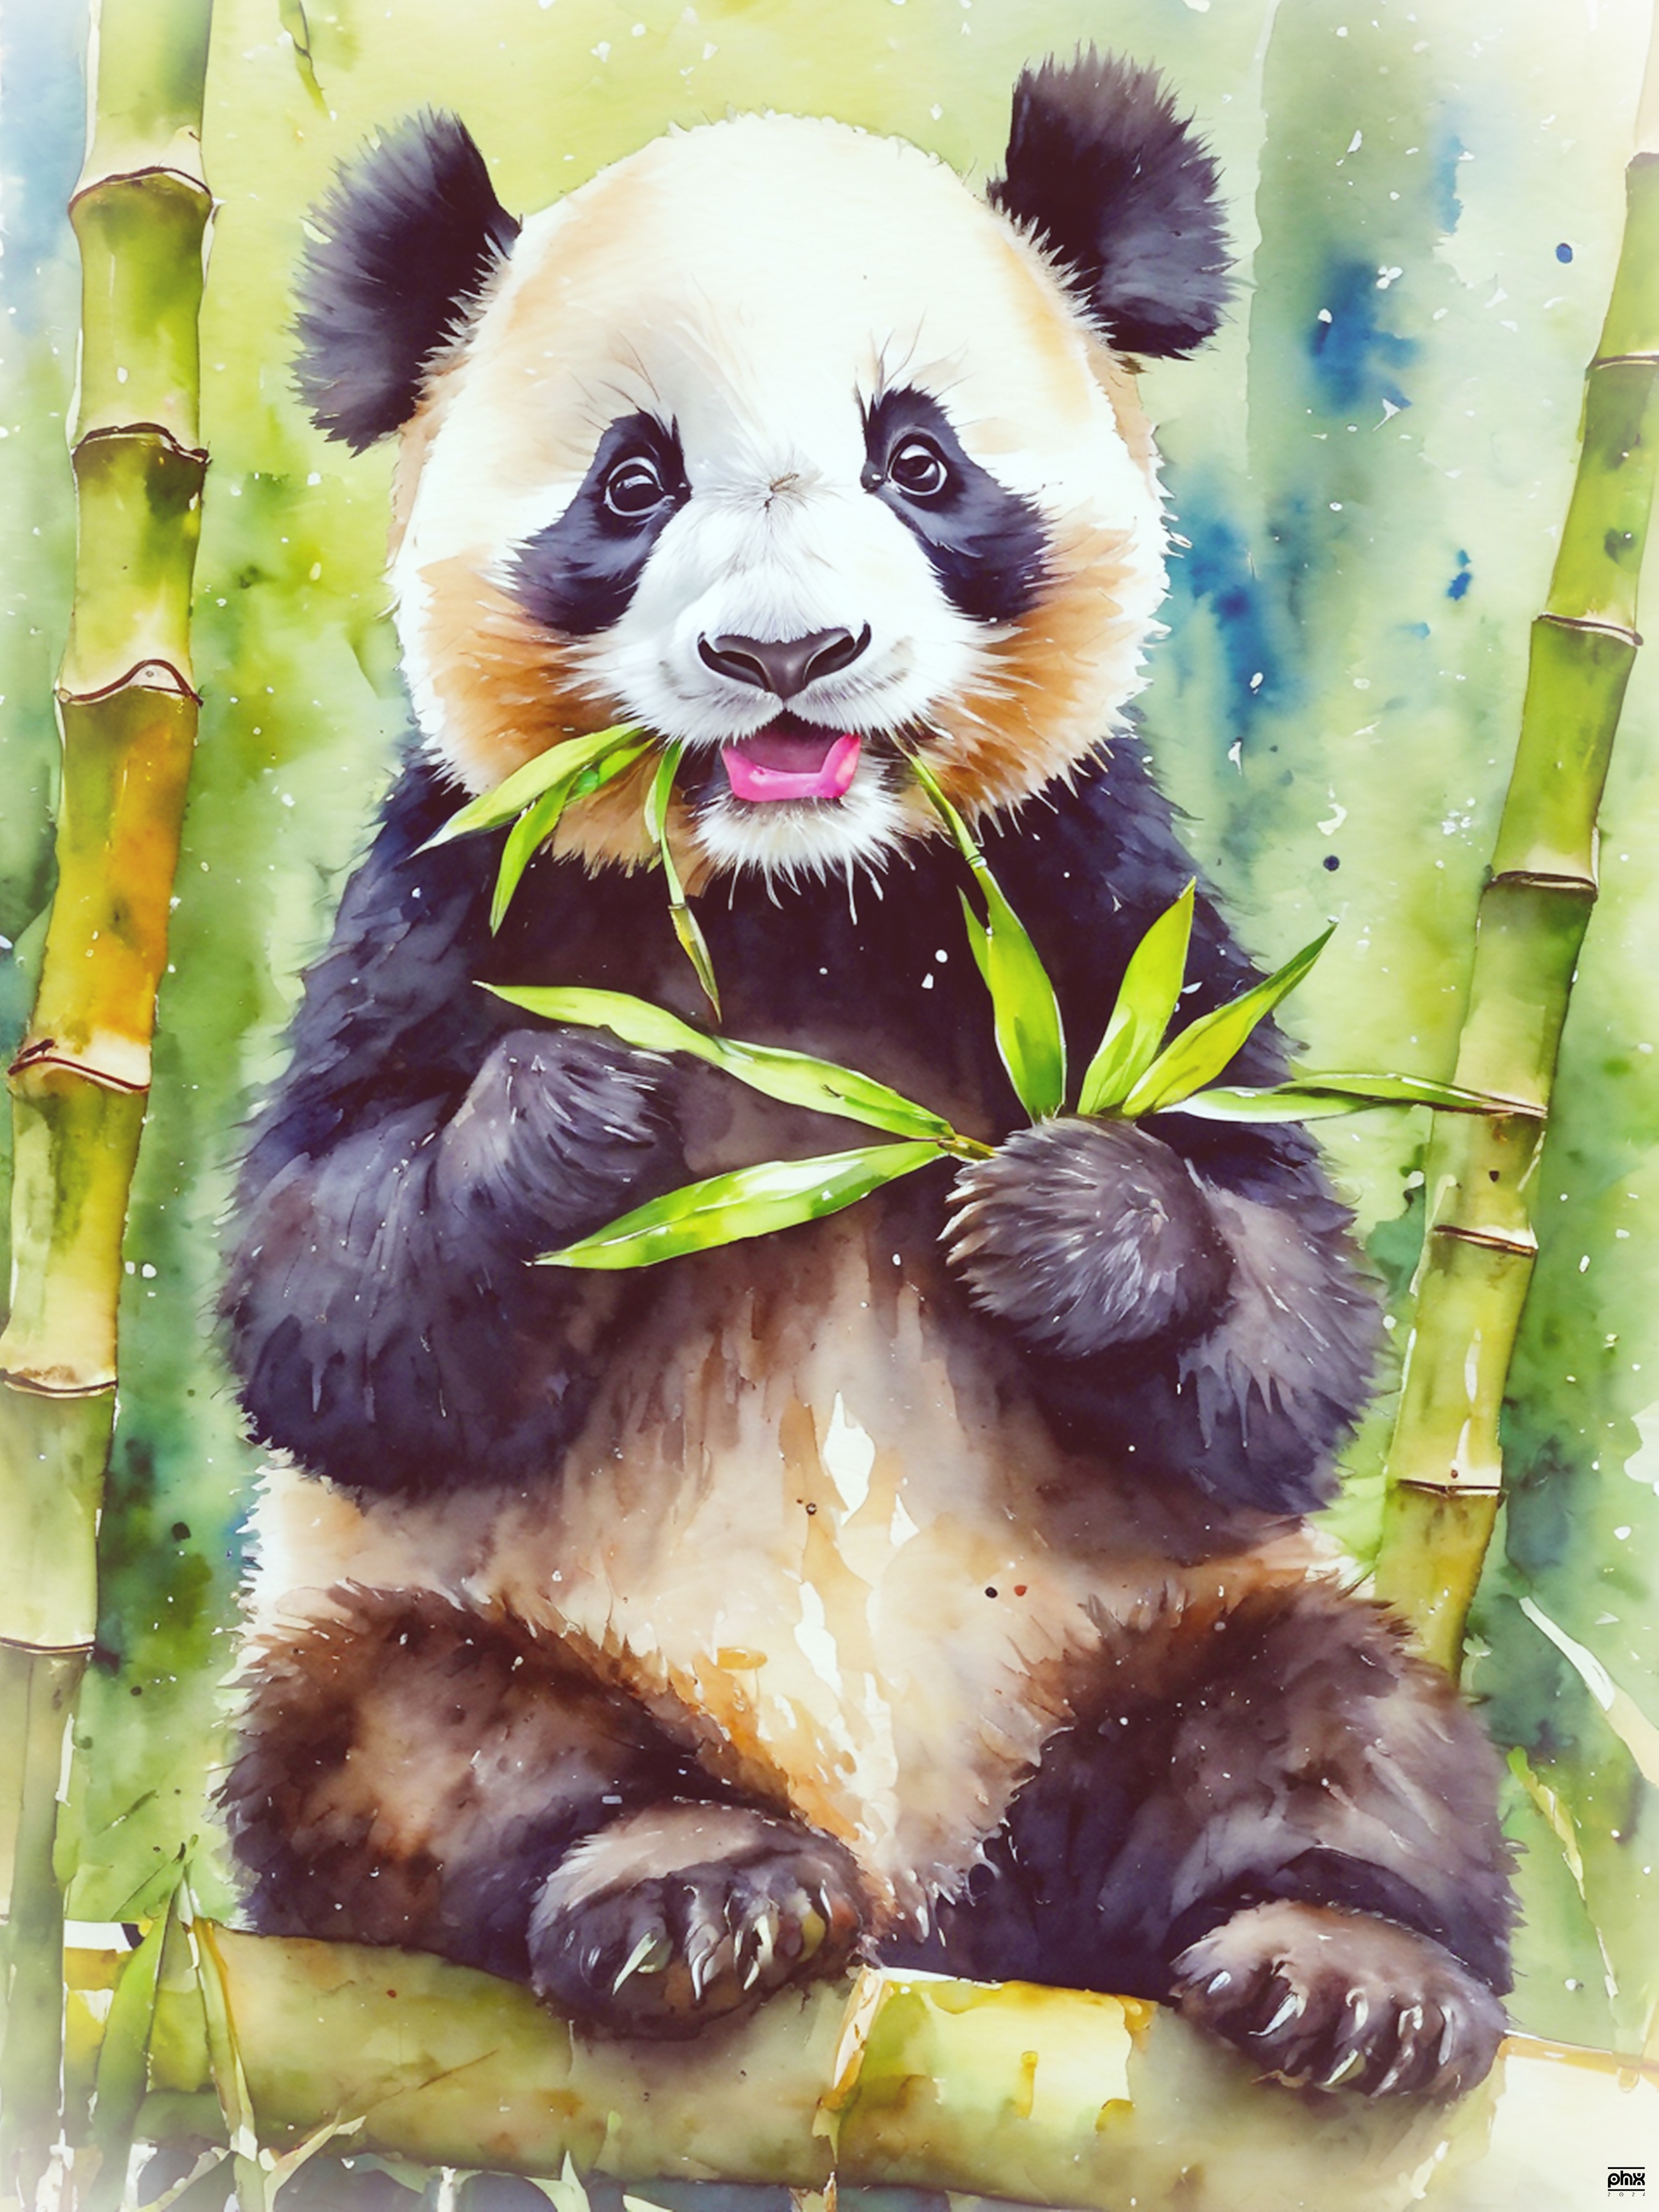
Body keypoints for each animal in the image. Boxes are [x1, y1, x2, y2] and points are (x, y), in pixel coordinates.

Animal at [221, 55, 1515, 2100]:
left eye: (918, 461)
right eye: (634, 482)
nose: (787, 654)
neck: (798, 907)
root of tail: (926, 1907)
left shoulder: (1092, 888)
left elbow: (1278, 1307)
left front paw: (1072, 1223)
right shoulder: (452, 885)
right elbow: (325, 1297)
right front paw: (582, 1116)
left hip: (1155, 1626)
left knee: (1330, 1715)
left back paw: (1344, 1966)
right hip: (425, 1626)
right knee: (419, 1734)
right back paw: (692, 1889)